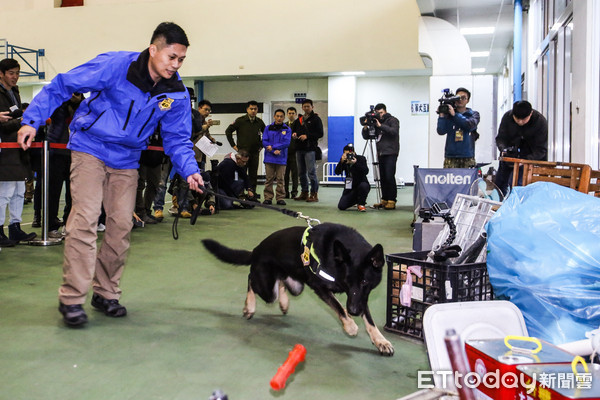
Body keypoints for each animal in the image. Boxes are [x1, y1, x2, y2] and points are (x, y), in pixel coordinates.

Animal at [202, 222, 394, 356]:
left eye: (364, 282)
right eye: (347, 281)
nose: (354, 311)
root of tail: (256, 249)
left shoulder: (361, 297)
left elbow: (369, 320)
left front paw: (380, 341)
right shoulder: (320, 287)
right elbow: (339, 306)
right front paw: (350, 325)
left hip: (296, 286)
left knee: (281, 283)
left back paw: (284, 303)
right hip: (267, 290)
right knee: (251, 279)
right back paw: (249, 306)